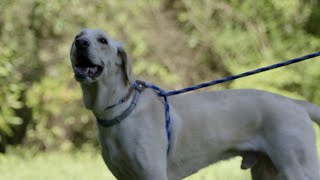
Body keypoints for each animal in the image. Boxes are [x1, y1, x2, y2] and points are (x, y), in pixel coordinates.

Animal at [70, 28, 320, 179]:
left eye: (102, 40)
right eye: (78, 36)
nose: (80, 42)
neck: (120, 109)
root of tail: (295, 102)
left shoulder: (153, 174)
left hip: (299, 167)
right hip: (267, 172)